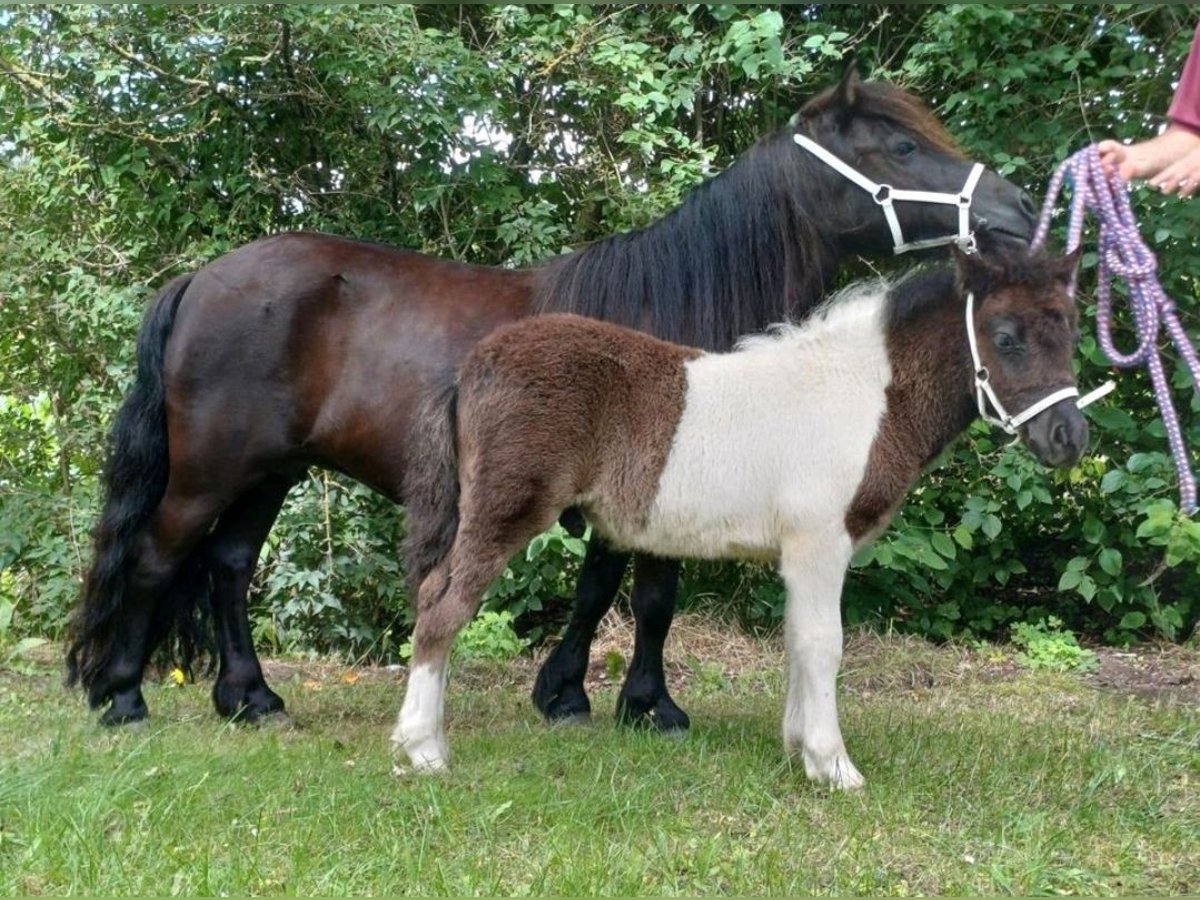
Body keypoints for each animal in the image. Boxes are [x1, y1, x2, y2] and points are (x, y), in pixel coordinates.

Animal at [70, 66, 1036, 729]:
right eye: (902, 147)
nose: (1020, 210)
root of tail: (201, 279)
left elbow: (603, 587)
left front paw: (570, 694)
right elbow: (649, 595)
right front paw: (648, 706)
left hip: (269, 472)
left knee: (229, 569)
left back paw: (250, 698)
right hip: (212, 469)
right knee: (157, 556)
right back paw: (122, 699)